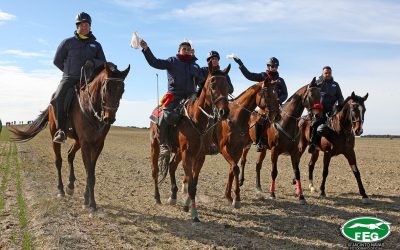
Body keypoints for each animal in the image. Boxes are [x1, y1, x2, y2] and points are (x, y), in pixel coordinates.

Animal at [8, 62, 130, 215]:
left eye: (122, 90)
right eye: (106, 88)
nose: (110, 118)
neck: (91, 109)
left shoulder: (98, 144)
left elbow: (91, 172)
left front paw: (87, 199)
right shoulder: (86, 143)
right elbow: (89, 173)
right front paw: (92, 204)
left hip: (77, 140)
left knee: (70, 155)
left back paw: (70, 186)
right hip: (56, 136)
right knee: (59, 161)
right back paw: (61, 189)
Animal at [150, 61, 231, 222]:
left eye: (227, 85)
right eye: (213, 84)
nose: (224, 112)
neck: (197, 119)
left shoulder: (200, 156)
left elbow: (193, 183)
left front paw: (189, 208)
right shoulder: (187, 155)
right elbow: (190, 181)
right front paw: (194, 213)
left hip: (178, 152)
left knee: (171, 166)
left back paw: (173, 196)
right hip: (155, 146)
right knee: (155, 171)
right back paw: (157, 197)